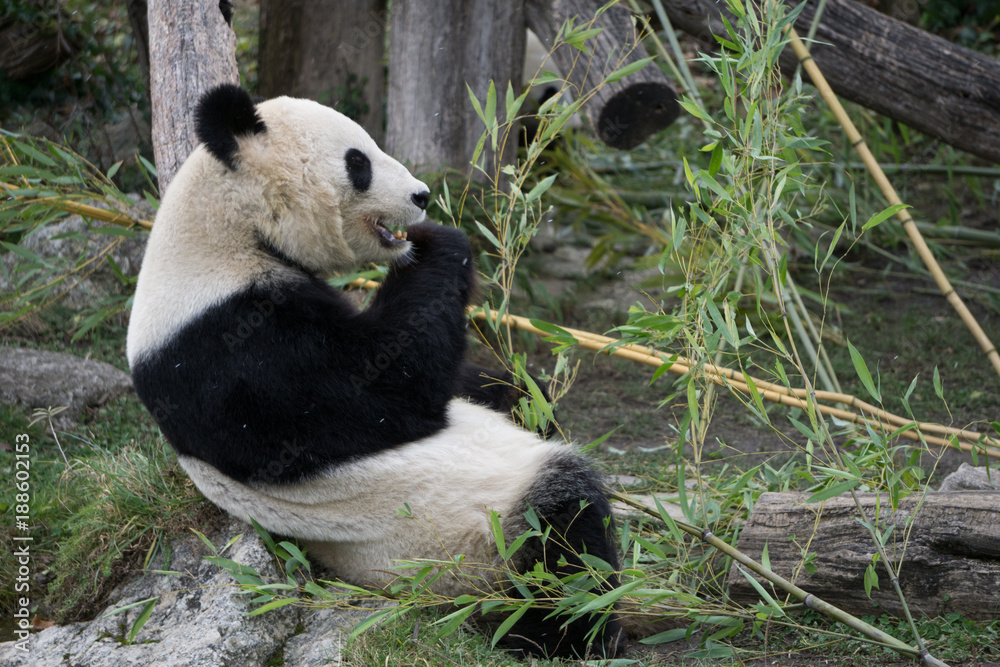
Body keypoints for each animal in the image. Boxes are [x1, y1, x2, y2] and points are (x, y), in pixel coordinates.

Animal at [127, 83, 624, 659]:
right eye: (358, 162)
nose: (423, 195)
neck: (227, 229)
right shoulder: (236, 347)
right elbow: (383, 388)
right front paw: (439, 240)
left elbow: (466, 382)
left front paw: (519, 390)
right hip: (456, 542)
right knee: (560, 527)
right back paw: (573, 630)